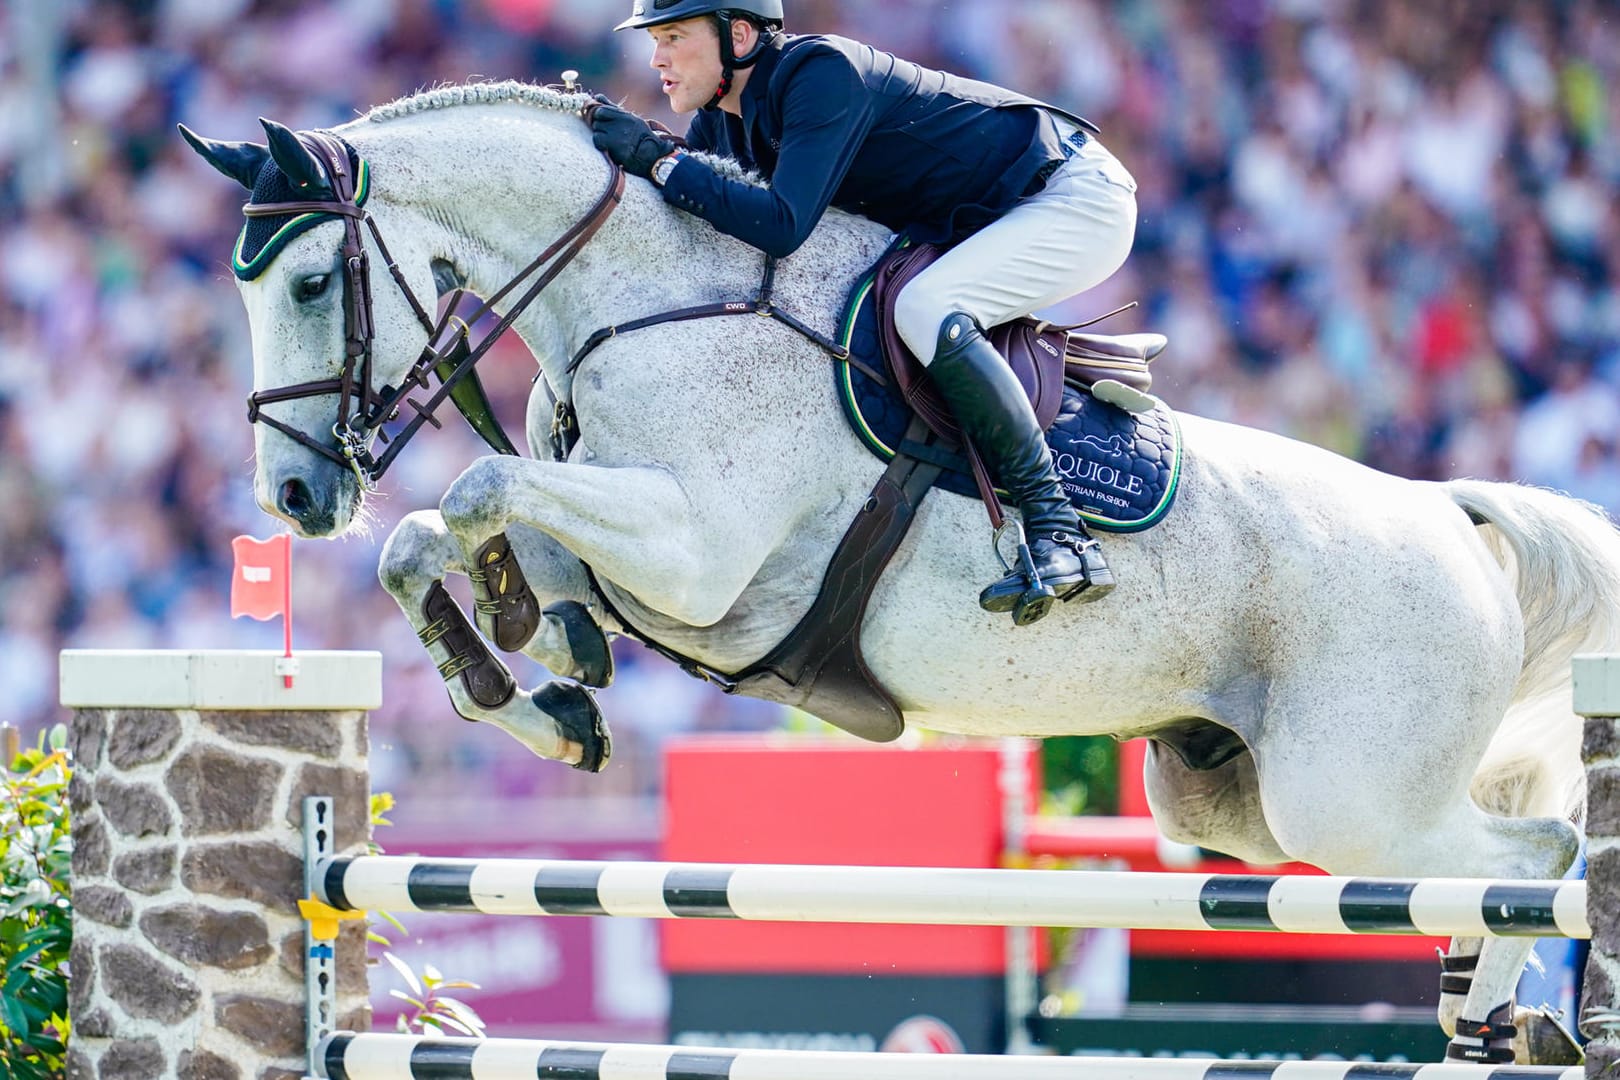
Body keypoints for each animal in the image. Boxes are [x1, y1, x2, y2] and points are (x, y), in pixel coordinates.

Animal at [180, 84, 1620, 1062]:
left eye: (308, 283)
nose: (295, 500)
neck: (647, 297)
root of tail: (1451, 515)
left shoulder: (700, 558)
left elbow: (481, 492)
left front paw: (539, 659)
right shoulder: (646, 543)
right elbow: (446, 537)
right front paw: (543, 683)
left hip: (1349, 795)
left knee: (1537, 852)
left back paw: (1511, 1025)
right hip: (1234, 805)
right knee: (1478, 867)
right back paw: (1486, 1029)